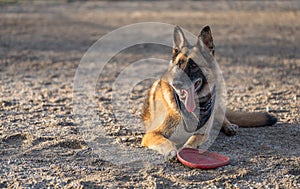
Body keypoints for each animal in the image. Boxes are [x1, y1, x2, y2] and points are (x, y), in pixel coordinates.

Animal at [141, 25, 276, 159]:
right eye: (178, 65)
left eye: (194, 66)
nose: (176, 84)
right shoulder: (151, 134)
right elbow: (165, 141)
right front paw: (172, 151)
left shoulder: (202, 134)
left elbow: (192, 140)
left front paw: (186, 149)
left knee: (222, 116)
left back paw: (229, 126)